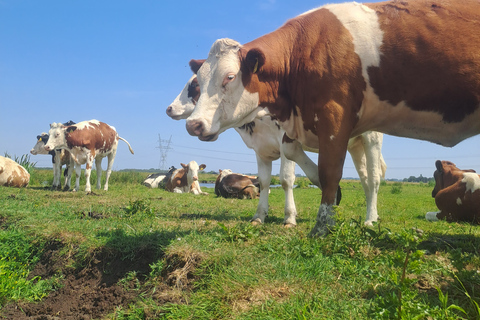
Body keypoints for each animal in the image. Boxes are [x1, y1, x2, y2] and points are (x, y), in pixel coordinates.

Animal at [169, 74, 386, 226]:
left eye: (196, 84)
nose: (169, 108)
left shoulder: (285, 142)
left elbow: (286, 180)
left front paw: (289, 218)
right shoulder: (261, 149)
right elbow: (265, 181)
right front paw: (259, 216)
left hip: (371, 139)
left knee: (374, 179)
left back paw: (370, 220)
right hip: (355, 145)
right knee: (365, 179)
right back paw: (372, 214)